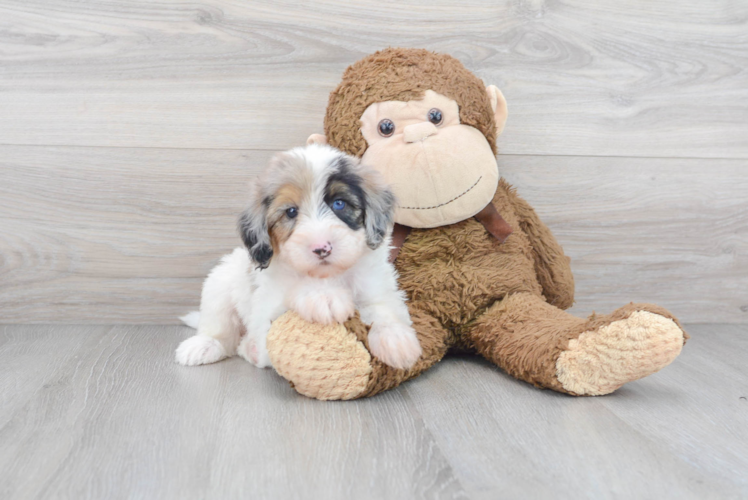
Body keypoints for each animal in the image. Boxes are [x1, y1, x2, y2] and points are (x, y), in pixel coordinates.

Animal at [174, 145, 420, 372]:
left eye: (339, 203)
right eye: (291, 212)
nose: (322, 248)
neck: (329, 275)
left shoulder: (376, 287)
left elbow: (384, 308)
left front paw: (396, 339)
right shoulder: (267, 310)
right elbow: (294, 289)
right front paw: (322, 296)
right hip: (219, 284)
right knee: (219, 327)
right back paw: (204, 346)